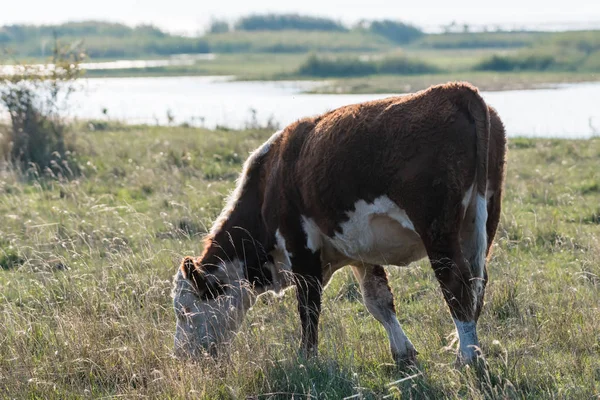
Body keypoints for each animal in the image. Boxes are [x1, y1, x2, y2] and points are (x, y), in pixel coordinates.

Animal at [172, 81, 506, 366]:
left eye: (185, 311)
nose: (180, 355)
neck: (270, 180)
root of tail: (457, 90)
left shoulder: (300, 246)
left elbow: (308, 307)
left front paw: (306, 359)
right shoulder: (360, 252)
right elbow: (378, 301)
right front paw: (403, 354)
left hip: (438, 229)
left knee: (456, 285)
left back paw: (467, 358)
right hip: (481, 220)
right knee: (477, 285)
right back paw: (468, 348)